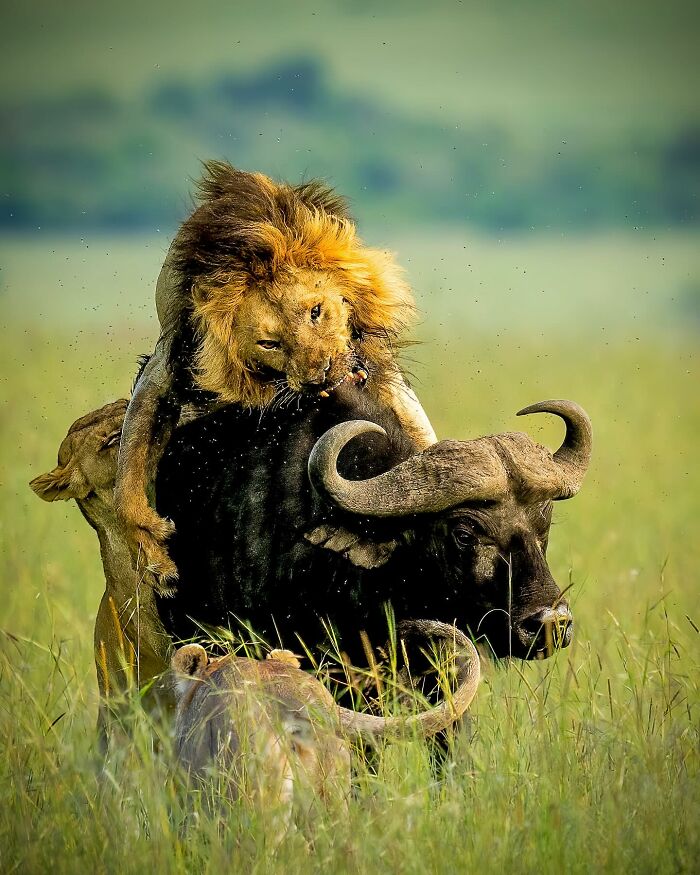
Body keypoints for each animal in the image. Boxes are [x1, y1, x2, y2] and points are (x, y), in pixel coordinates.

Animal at [114, 161, 437, 593]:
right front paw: (155, 556)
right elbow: (127, 483)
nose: (319, 377)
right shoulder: (169, 361)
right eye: (270, 343)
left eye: (316, 312)